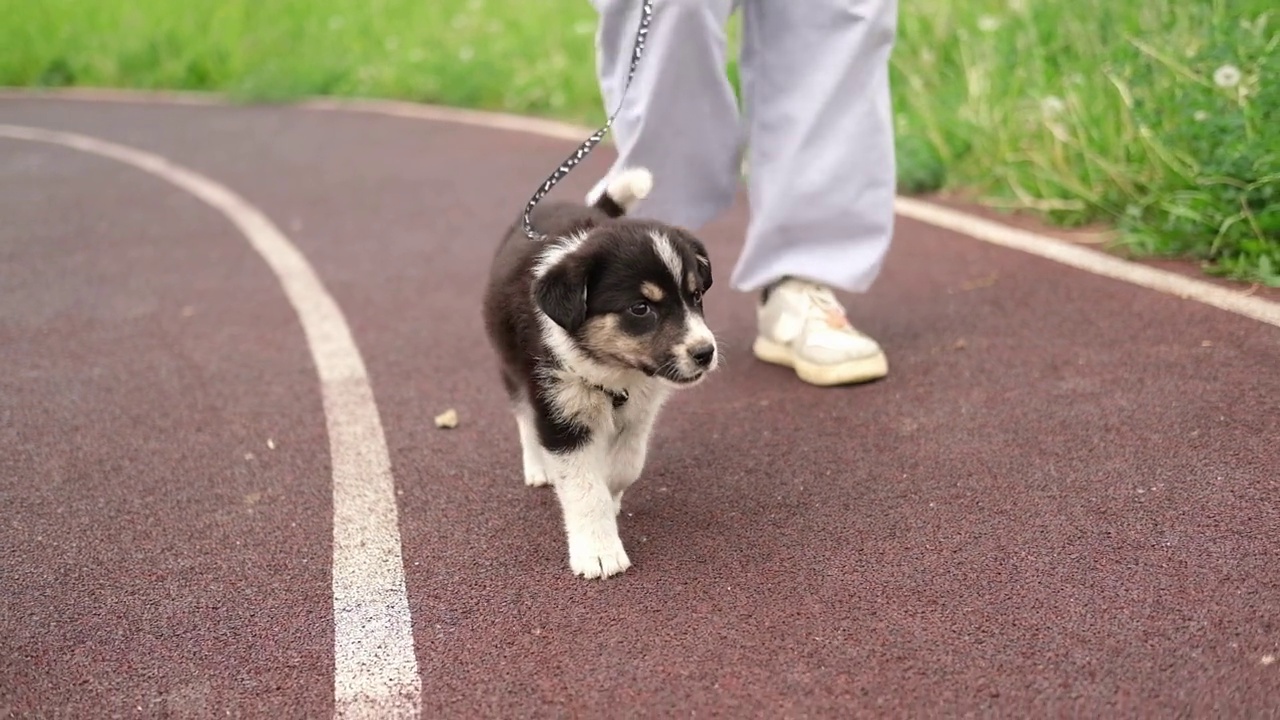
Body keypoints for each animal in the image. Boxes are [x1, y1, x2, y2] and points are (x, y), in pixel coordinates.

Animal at [481, 166, 721, 576]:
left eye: (695, 296)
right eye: (641, 308)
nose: (706, 353)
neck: (615, 371)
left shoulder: (640, 410)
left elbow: (626, 464)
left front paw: (612, 491)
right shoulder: (560, 410)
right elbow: (584, 489)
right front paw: (598, 553)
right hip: (512, 367)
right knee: (524, 417)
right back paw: (538, 468)